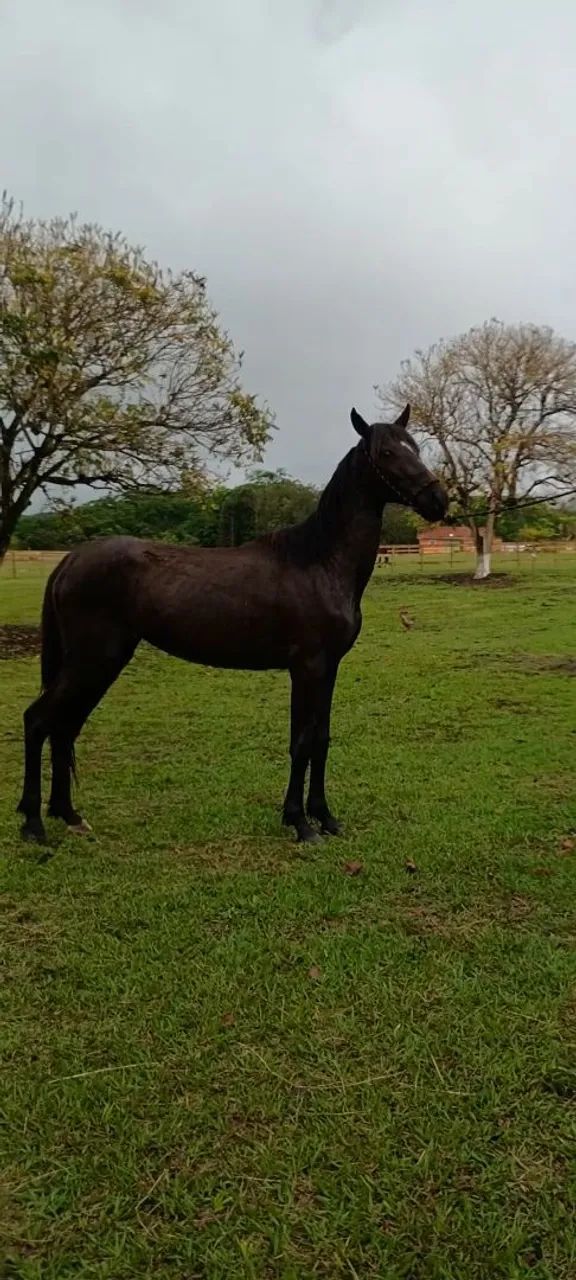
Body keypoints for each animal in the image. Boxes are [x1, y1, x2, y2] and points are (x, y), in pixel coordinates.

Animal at [17, 405, 447, 846]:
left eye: (414, 447)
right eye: (385, 453)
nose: (438, 500)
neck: (319, 561)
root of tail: (71, 559)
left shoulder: (329, 668)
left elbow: (321, 740)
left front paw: (325, 817)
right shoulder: (307, 667)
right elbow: (302, 742)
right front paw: (300, 823)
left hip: (99, 664)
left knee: (64, 728)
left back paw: (68, 814)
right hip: (93, 662)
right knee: (38, 721)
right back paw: (33, 824)